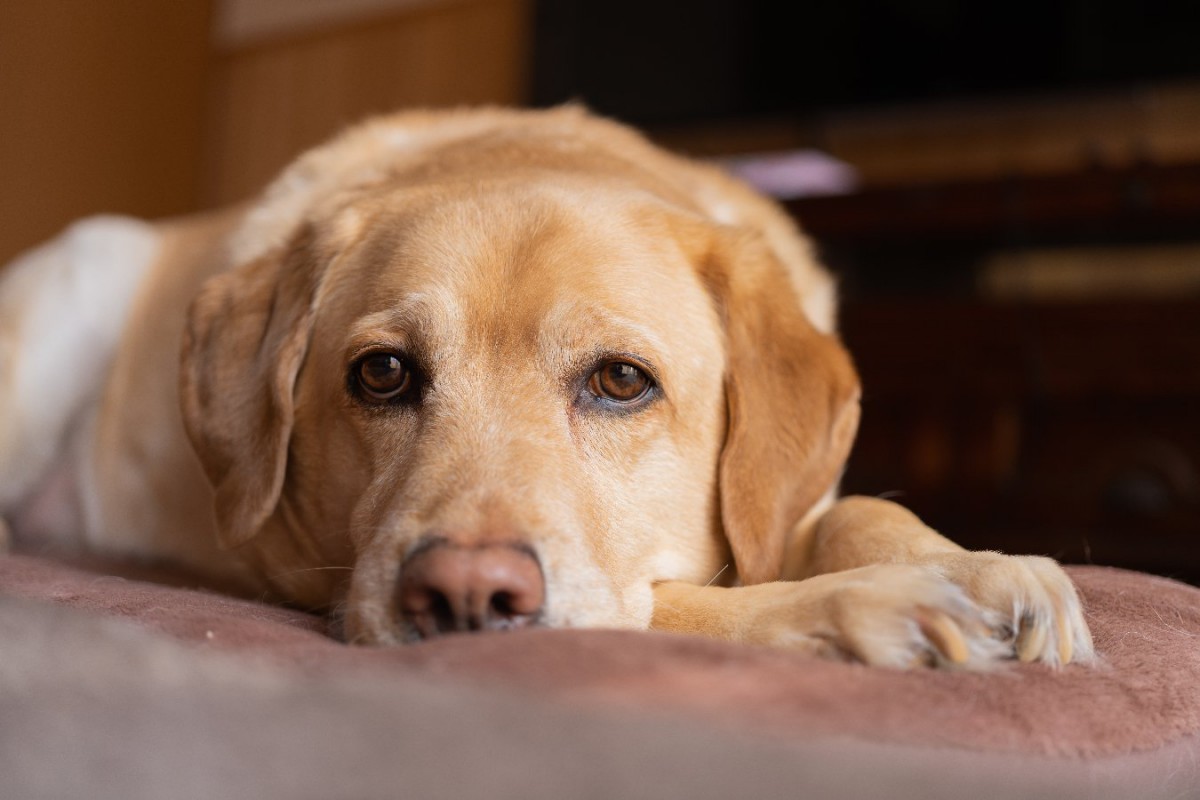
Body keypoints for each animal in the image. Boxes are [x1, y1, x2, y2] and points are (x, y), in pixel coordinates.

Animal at [0, 107, 1094, 671]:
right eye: (382, 372)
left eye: (620, 381)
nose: (464, 593)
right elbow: (690, 605)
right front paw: (879, 605)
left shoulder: (795, 503)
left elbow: (857, 511)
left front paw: (977, 565)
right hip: (77, 284)